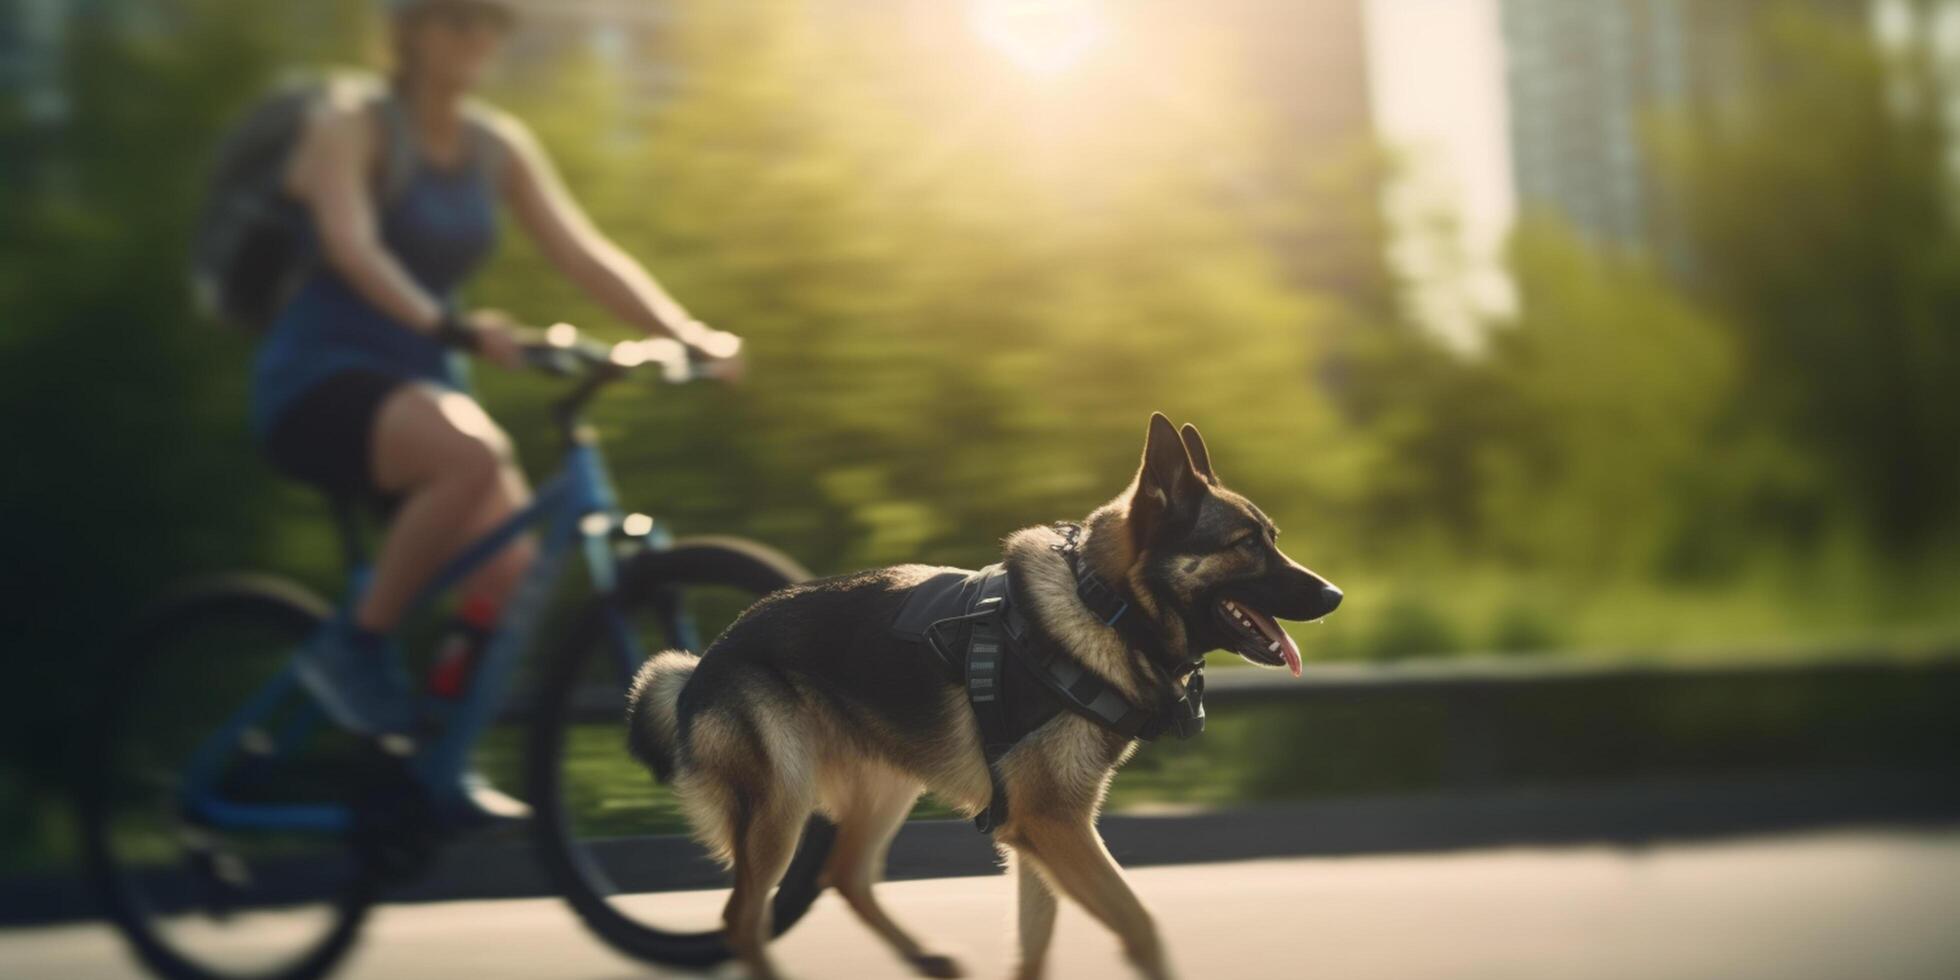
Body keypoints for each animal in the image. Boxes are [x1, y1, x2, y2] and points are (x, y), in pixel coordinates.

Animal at [627, 415, 1348, 980]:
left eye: (1273, 539)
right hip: (782, 810)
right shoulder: (1054, 825)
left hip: (884, 788)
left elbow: (1036, 951)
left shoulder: (1036, 837)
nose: (1335, 595)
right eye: (1246, 546)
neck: (1104, 605)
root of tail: (703, 664)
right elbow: (1140, 926)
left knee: (844, 876)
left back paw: (925, 958)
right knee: (743, 921)